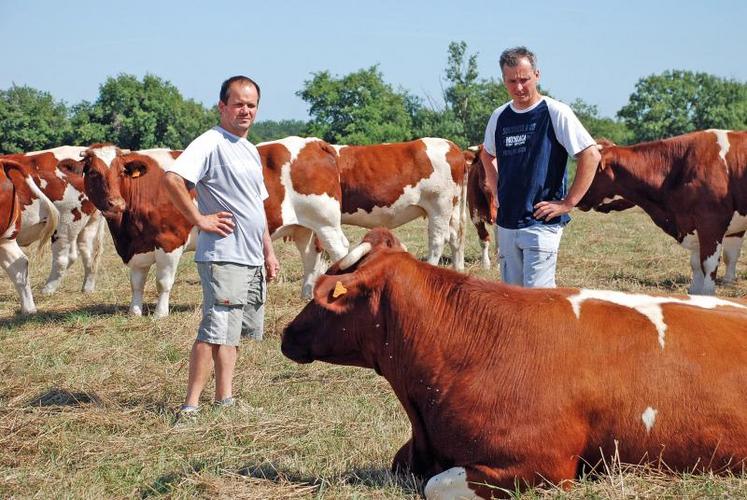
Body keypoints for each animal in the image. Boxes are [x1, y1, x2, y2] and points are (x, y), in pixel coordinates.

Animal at [1, 146, 105, 296]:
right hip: (89, 224)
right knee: (88, 254)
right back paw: (87, 288)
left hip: (65, 225)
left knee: (62, 259)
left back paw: (47, 289)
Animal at [334, 137, 468, 270]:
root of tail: (452, 146)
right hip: (453, 208)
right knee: (456, 236)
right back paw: (458, 269)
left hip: (440, 206)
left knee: (438, 240)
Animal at [580, 132, 747, 296]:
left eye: (591, 167)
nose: (579, 199)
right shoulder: (691, 225)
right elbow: (698, 263)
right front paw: (694, 291)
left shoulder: (712, 221)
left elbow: (709, 263)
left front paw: (707, 292)